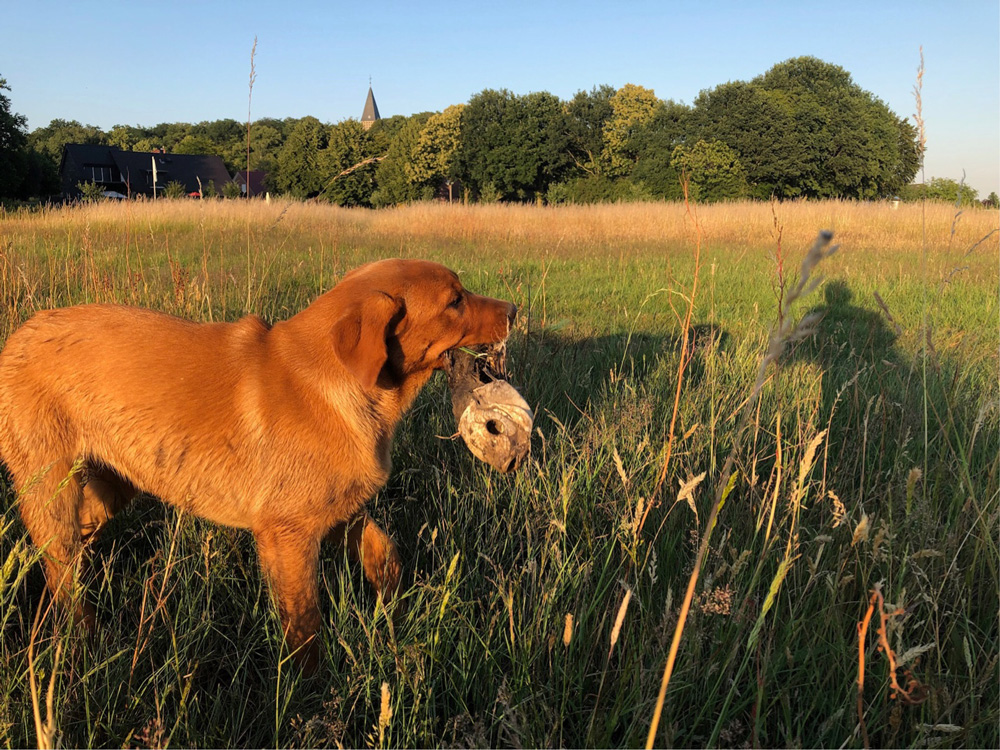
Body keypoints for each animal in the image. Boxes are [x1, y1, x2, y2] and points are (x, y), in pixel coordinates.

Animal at [0, 258, 516, 672]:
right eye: (455, 301)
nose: (514, 311)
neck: (344, 388)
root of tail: (19, 335)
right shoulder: (287, 534)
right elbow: (305, 625)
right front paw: (309, 694)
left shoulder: (335, 510)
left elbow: (383, 552)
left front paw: (393, 608)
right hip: (53, 487)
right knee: (63, 569)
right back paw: (83, 642)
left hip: (111, 487)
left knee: (62, 558)